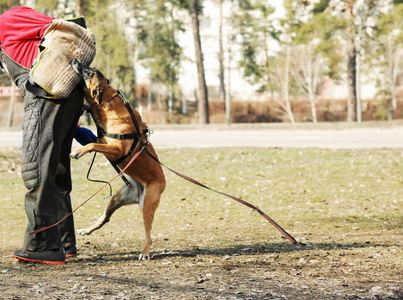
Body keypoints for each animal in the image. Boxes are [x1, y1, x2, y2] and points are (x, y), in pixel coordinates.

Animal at [69, 58, 166, 260]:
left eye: (88, 73)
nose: (74, 60)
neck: (107, 103)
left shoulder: (116, 149)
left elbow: (92, 145)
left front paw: (78, 151)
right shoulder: (103, 140)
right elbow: (94, 139)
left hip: (147, 207)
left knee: (149, 235)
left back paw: (145, 252)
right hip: (116, 199)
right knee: (105, 219)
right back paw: (86, 231)